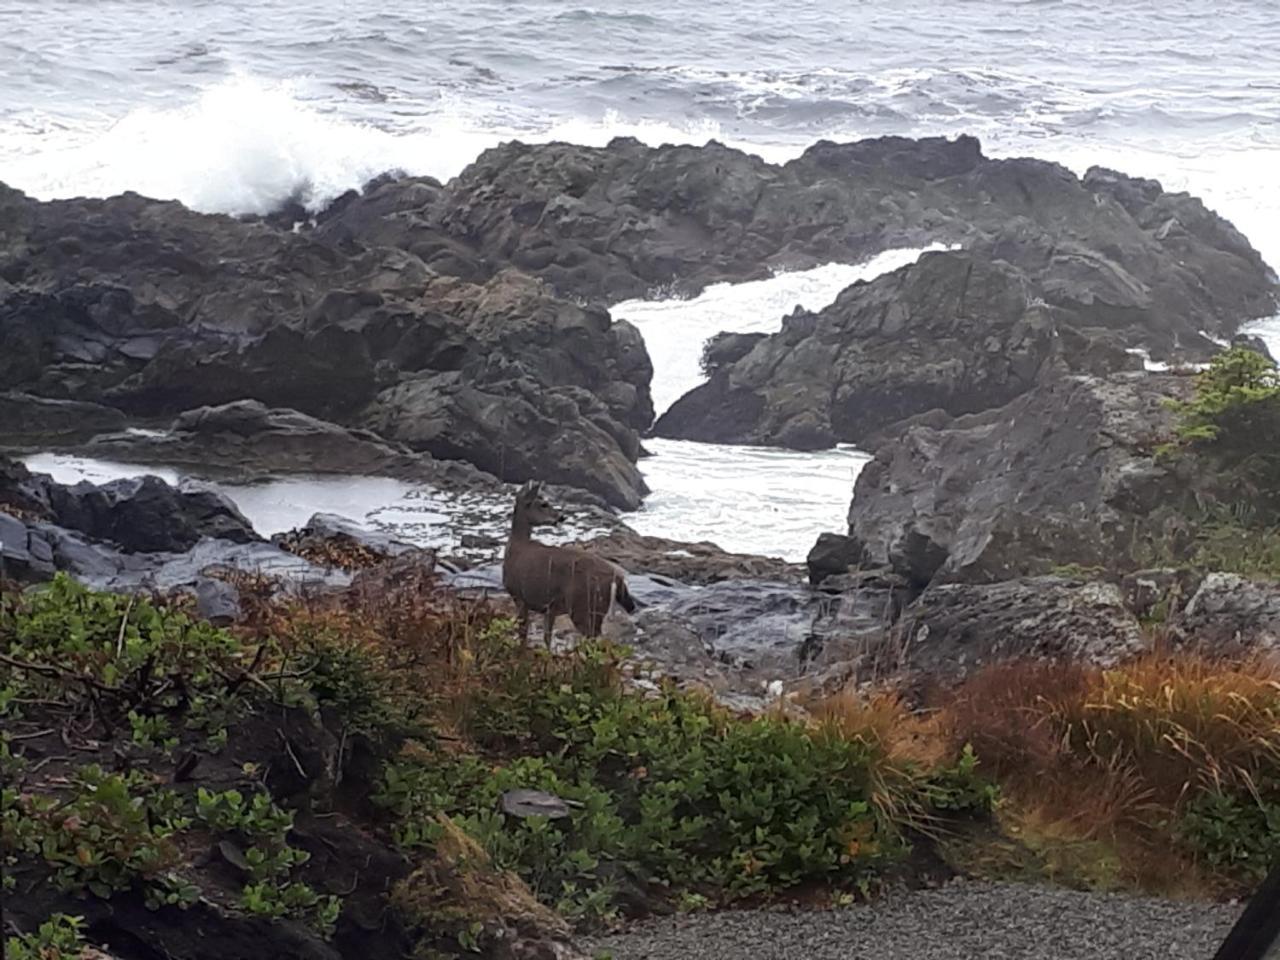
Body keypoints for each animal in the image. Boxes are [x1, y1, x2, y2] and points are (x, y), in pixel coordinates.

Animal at [501, 478, 637, 647]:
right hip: (594, 608)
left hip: (582, 605)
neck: (517, 546)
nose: (561, 517)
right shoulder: (548, 607)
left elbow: (523, 632)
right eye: (543, 504)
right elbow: (546, 636)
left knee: (593, 638)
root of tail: (616, 578)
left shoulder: (519, 596)